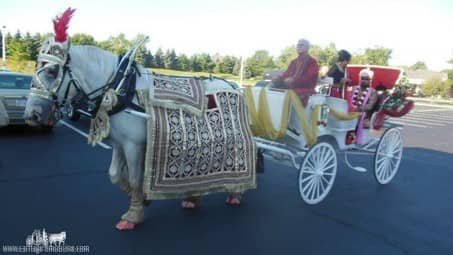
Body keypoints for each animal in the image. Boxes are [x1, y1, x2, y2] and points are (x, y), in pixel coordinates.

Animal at [25, 8, 254, 231]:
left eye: (53, 71)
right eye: (36, 67)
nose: (32, 114)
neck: (119, 88)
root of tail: (234, 85)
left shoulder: (133, 145)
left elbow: (135, 179)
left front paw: (133, 215)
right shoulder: (119, 143)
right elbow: (115, 174)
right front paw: (144, 200)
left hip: (233, 139)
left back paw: (236, 192)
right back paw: (193, 197)